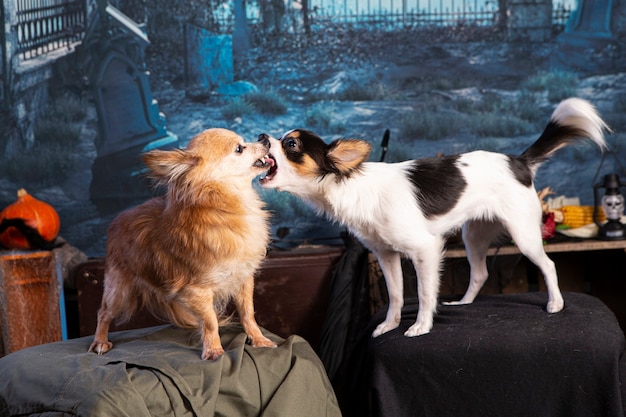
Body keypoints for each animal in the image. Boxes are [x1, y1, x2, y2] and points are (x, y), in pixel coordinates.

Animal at [256, 98, 608, 338]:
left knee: (547, 265)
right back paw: (464, 303)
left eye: (291, 144)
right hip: (473, 236)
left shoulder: (425, 250)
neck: (351, 186)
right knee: (480, 272)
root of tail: (518, 162)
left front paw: (421, 326)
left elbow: (425, 293)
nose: (260, 136)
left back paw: (555, 304)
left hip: (523, 234)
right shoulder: (386, 256)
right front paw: (390, 325)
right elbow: (396, 295)